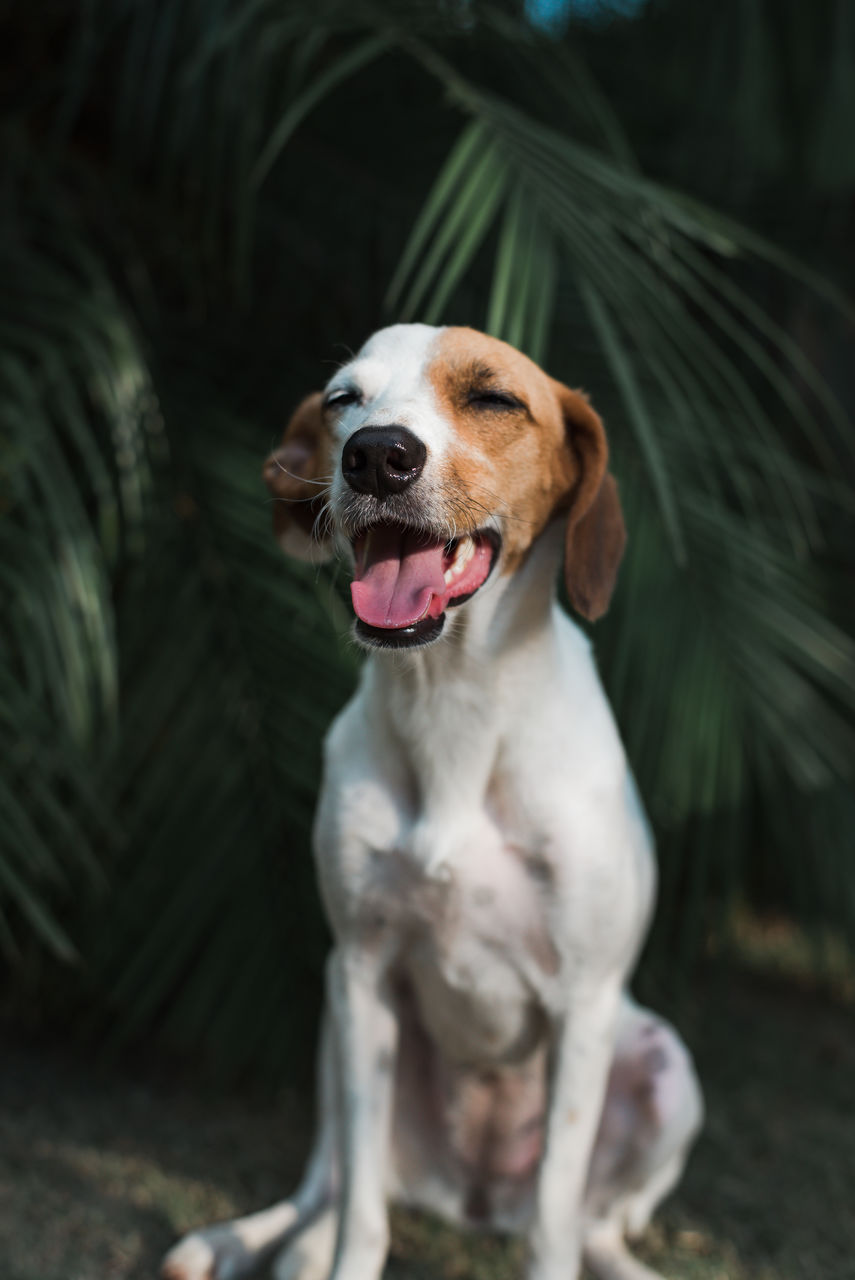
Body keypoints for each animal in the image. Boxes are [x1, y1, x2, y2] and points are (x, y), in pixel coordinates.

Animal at [163, 325, 706, 1280]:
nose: (376, 454)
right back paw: (251, 1241)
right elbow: (358, 1216)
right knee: (332, 1185)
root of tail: (471, 1202)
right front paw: (327, 1256)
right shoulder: (362, 970)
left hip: (663, 1066)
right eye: (342, 399)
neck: (452, 705)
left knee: (593, 1225)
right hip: (333, 1022)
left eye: (493, 398)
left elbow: (555, 1224)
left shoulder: (585, 1006)